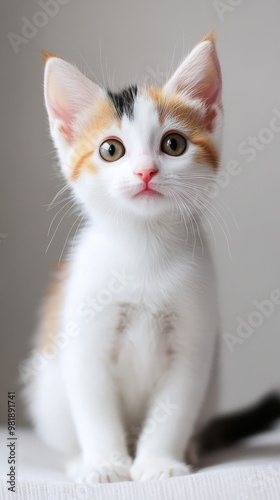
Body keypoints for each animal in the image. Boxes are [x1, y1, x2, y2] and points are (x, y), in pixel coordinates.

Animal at [22, 35, 252, 480]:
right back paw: (78, 459)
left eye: (173, 144)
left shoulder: (192, 344)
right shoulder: (87, 339)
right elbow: (94, 409)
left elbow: (172, 411)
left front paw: (159, 462)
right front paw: (106, 465)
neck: (145, 249)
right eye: (111, 150)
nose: (146, 172)